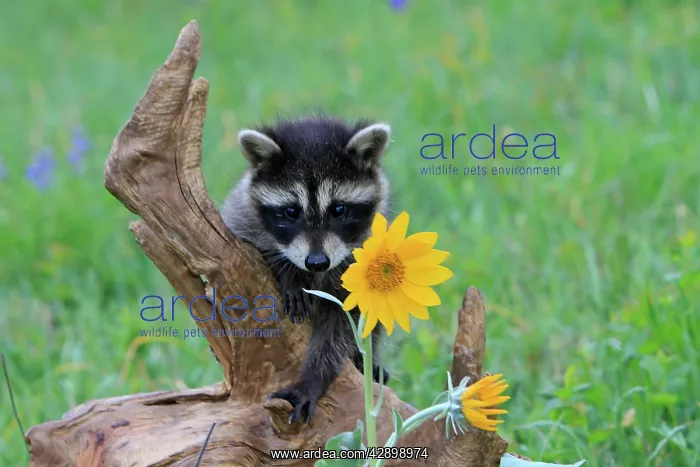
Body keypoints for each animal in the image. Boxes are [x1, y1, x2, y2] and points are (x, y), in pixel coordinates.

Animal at [220, 115, 392, 424]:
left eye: (339, 210)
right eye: (291, 212)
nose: (316, 262)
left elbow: (343, 325)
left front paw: (313, 378)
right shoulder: (240, 219)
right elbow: (254, 245)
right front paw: (288, 271)